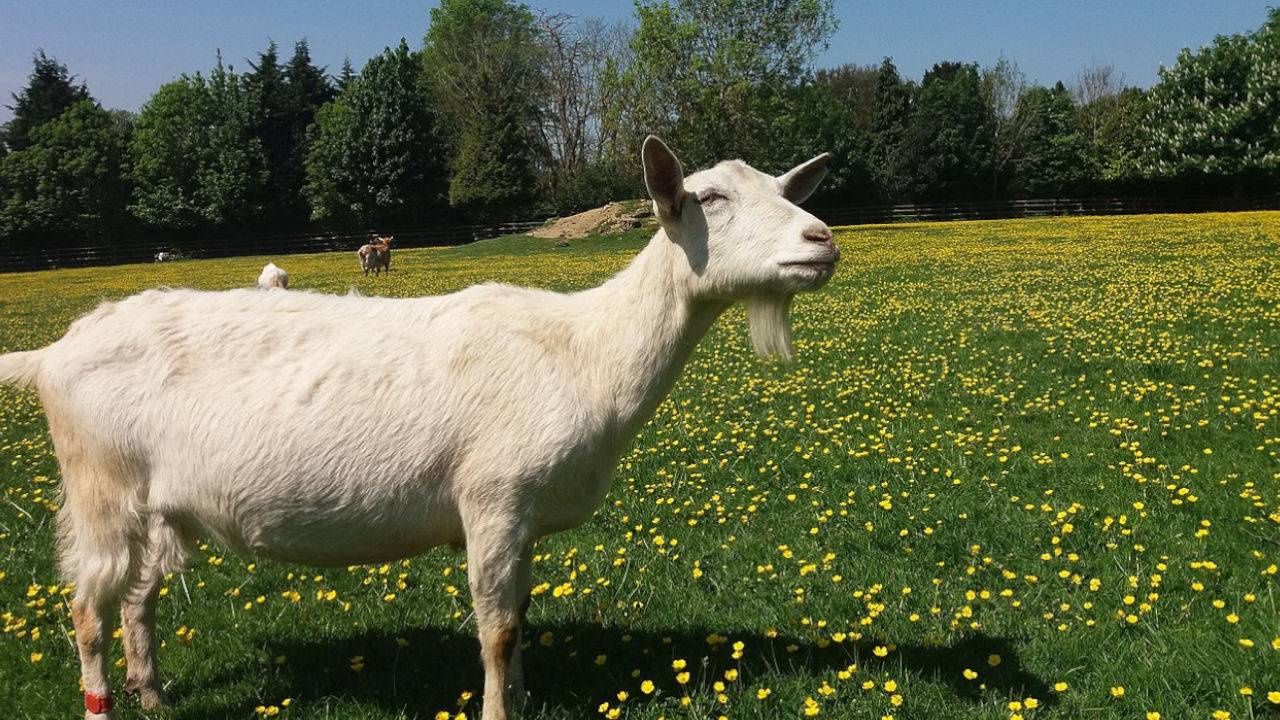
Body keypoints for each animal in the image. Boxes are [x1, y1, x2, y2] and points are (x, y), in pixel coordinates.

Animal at [0, 135, 839, 717]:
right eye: (709, 197)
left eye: (782, 188)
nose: (822, 239)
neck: (582, 351)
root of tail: (55, 352)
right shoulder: (492, 497)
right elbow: (496, 627)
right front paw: (500, 709)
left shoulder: (522, 514)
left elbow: (521, 612)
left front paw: (525, 697)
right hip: (99, 486)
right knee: (87, 609)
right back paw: (103, 703)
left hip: (158, 504)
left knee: (137, 598)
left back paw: (155, 694)